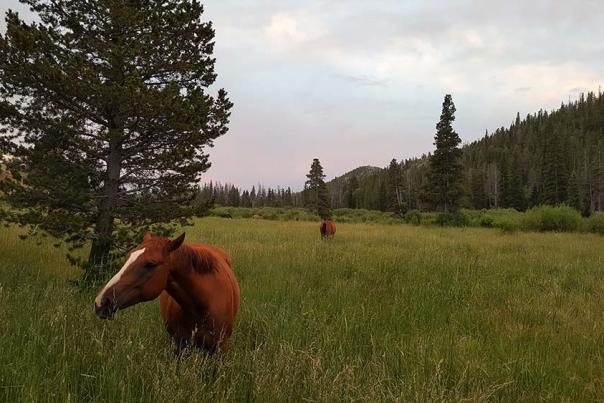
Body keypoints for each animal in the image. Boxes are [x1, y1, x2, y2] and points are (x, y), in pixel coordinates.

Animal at [93, 234, 239, 354]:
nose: (101, 301)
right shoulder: (180, 347)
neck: (202, 306)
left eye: (150, 264)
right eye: (127, 257)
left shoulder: (220, 349)